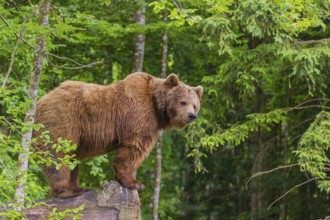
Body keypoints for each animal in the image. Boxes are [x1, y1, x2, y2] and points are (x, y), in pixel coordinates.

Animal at [32, 71, 201, 199]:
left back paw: (77, 188)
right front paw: (135, 183)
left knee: (71, 157)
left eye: (195, 105)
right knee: (58, 153)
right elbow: (134, 147)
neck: (156, 108)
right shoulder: (138, 114)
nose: (191, 115)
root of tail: (40, 102)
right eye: (183, 102)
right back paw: (65, 191)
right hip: (63, 118)